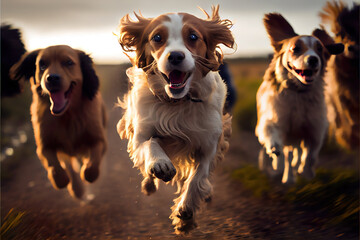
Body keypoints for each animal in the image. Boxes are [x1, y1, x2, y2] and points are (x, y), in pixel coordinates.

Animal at [9, 45, 105, 199]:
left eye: (69, 62)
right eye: (42, 64)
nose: (52, 78)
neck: (67, 116)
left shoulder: (98, 139)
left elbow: (93, 161)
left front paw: (88, 173)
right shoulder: (44, 145)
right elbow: (55, 165)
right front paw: (61, 180)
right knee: (68, 164)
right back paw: (77, 188)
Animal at [116, 5, 233, 233]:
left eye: (193, 36)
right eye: (157, 37)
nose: (176, 56)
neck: (177, 103)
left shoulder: (208, 144)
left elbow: (197, 178)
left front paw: (185, 212)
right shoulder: (141, 132)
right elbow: (150, 144)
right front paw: (160, 163)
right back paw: (149, 183)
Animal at [256, 13, 344, 184]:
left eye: (320, 49)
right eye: (295, 48)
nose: (313, 59)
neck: (299, 92)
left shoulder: (315, 128)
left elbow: (311, 154)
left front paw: (306, 171)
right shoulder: (275, 120)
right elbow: (273, 137)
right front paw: (276, 154)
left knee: (297, 153)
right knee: (287, 155)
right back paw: (286, 175)